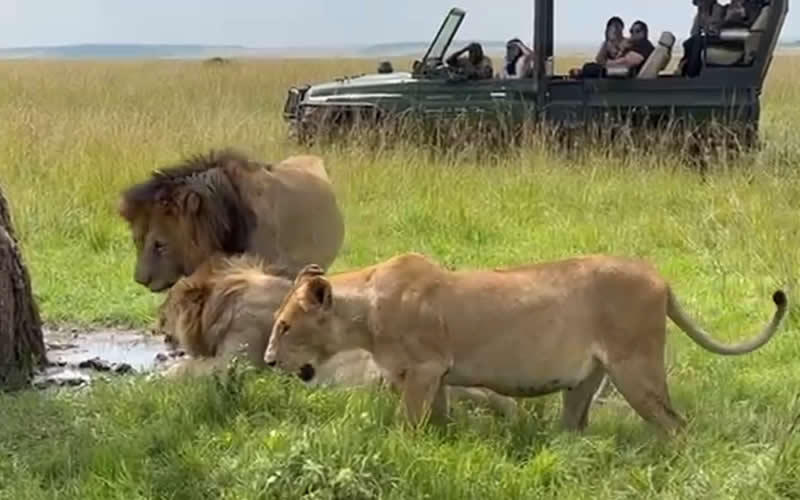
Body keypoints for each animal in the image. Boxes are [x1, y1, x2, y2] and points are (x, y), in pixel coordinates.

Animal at [264, 253, 788, 434]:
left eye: (285, 326)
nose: (268, 361)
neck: (365, 314)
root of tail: (659, 276)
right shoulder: (435, 377)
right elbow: (437, 422)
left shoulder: (426, 369)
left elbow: (408, 425)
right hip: (586, 381)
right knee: (575, 427)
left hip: (636, 369)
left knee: (676, 426)